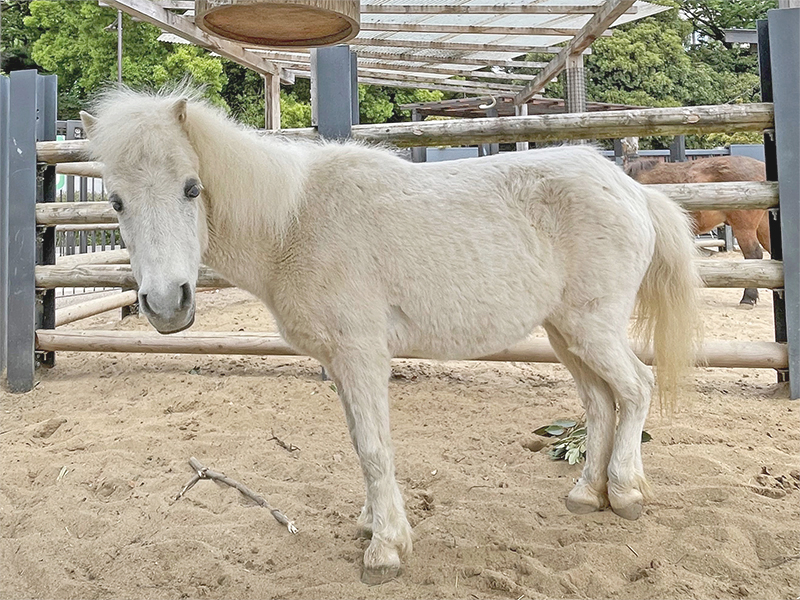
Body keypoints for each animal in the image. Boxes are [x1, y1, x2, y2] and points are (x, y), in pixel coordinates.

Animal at [78, 90, 696, 584]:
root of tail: (632, 190)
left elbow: (375, 449)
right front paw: (372, 524)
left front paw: (385, 550)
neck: (296, 223)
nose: (167, 303)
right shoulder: (343, 365)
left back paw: (627, 492)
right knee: (599, 404)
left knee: (636, 389)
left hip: (592, 329)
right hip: (566, 334)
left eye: (191, 188)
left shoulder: (361, 356)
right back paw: (587, 495)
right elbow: (361, 444)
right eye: (116, 201)